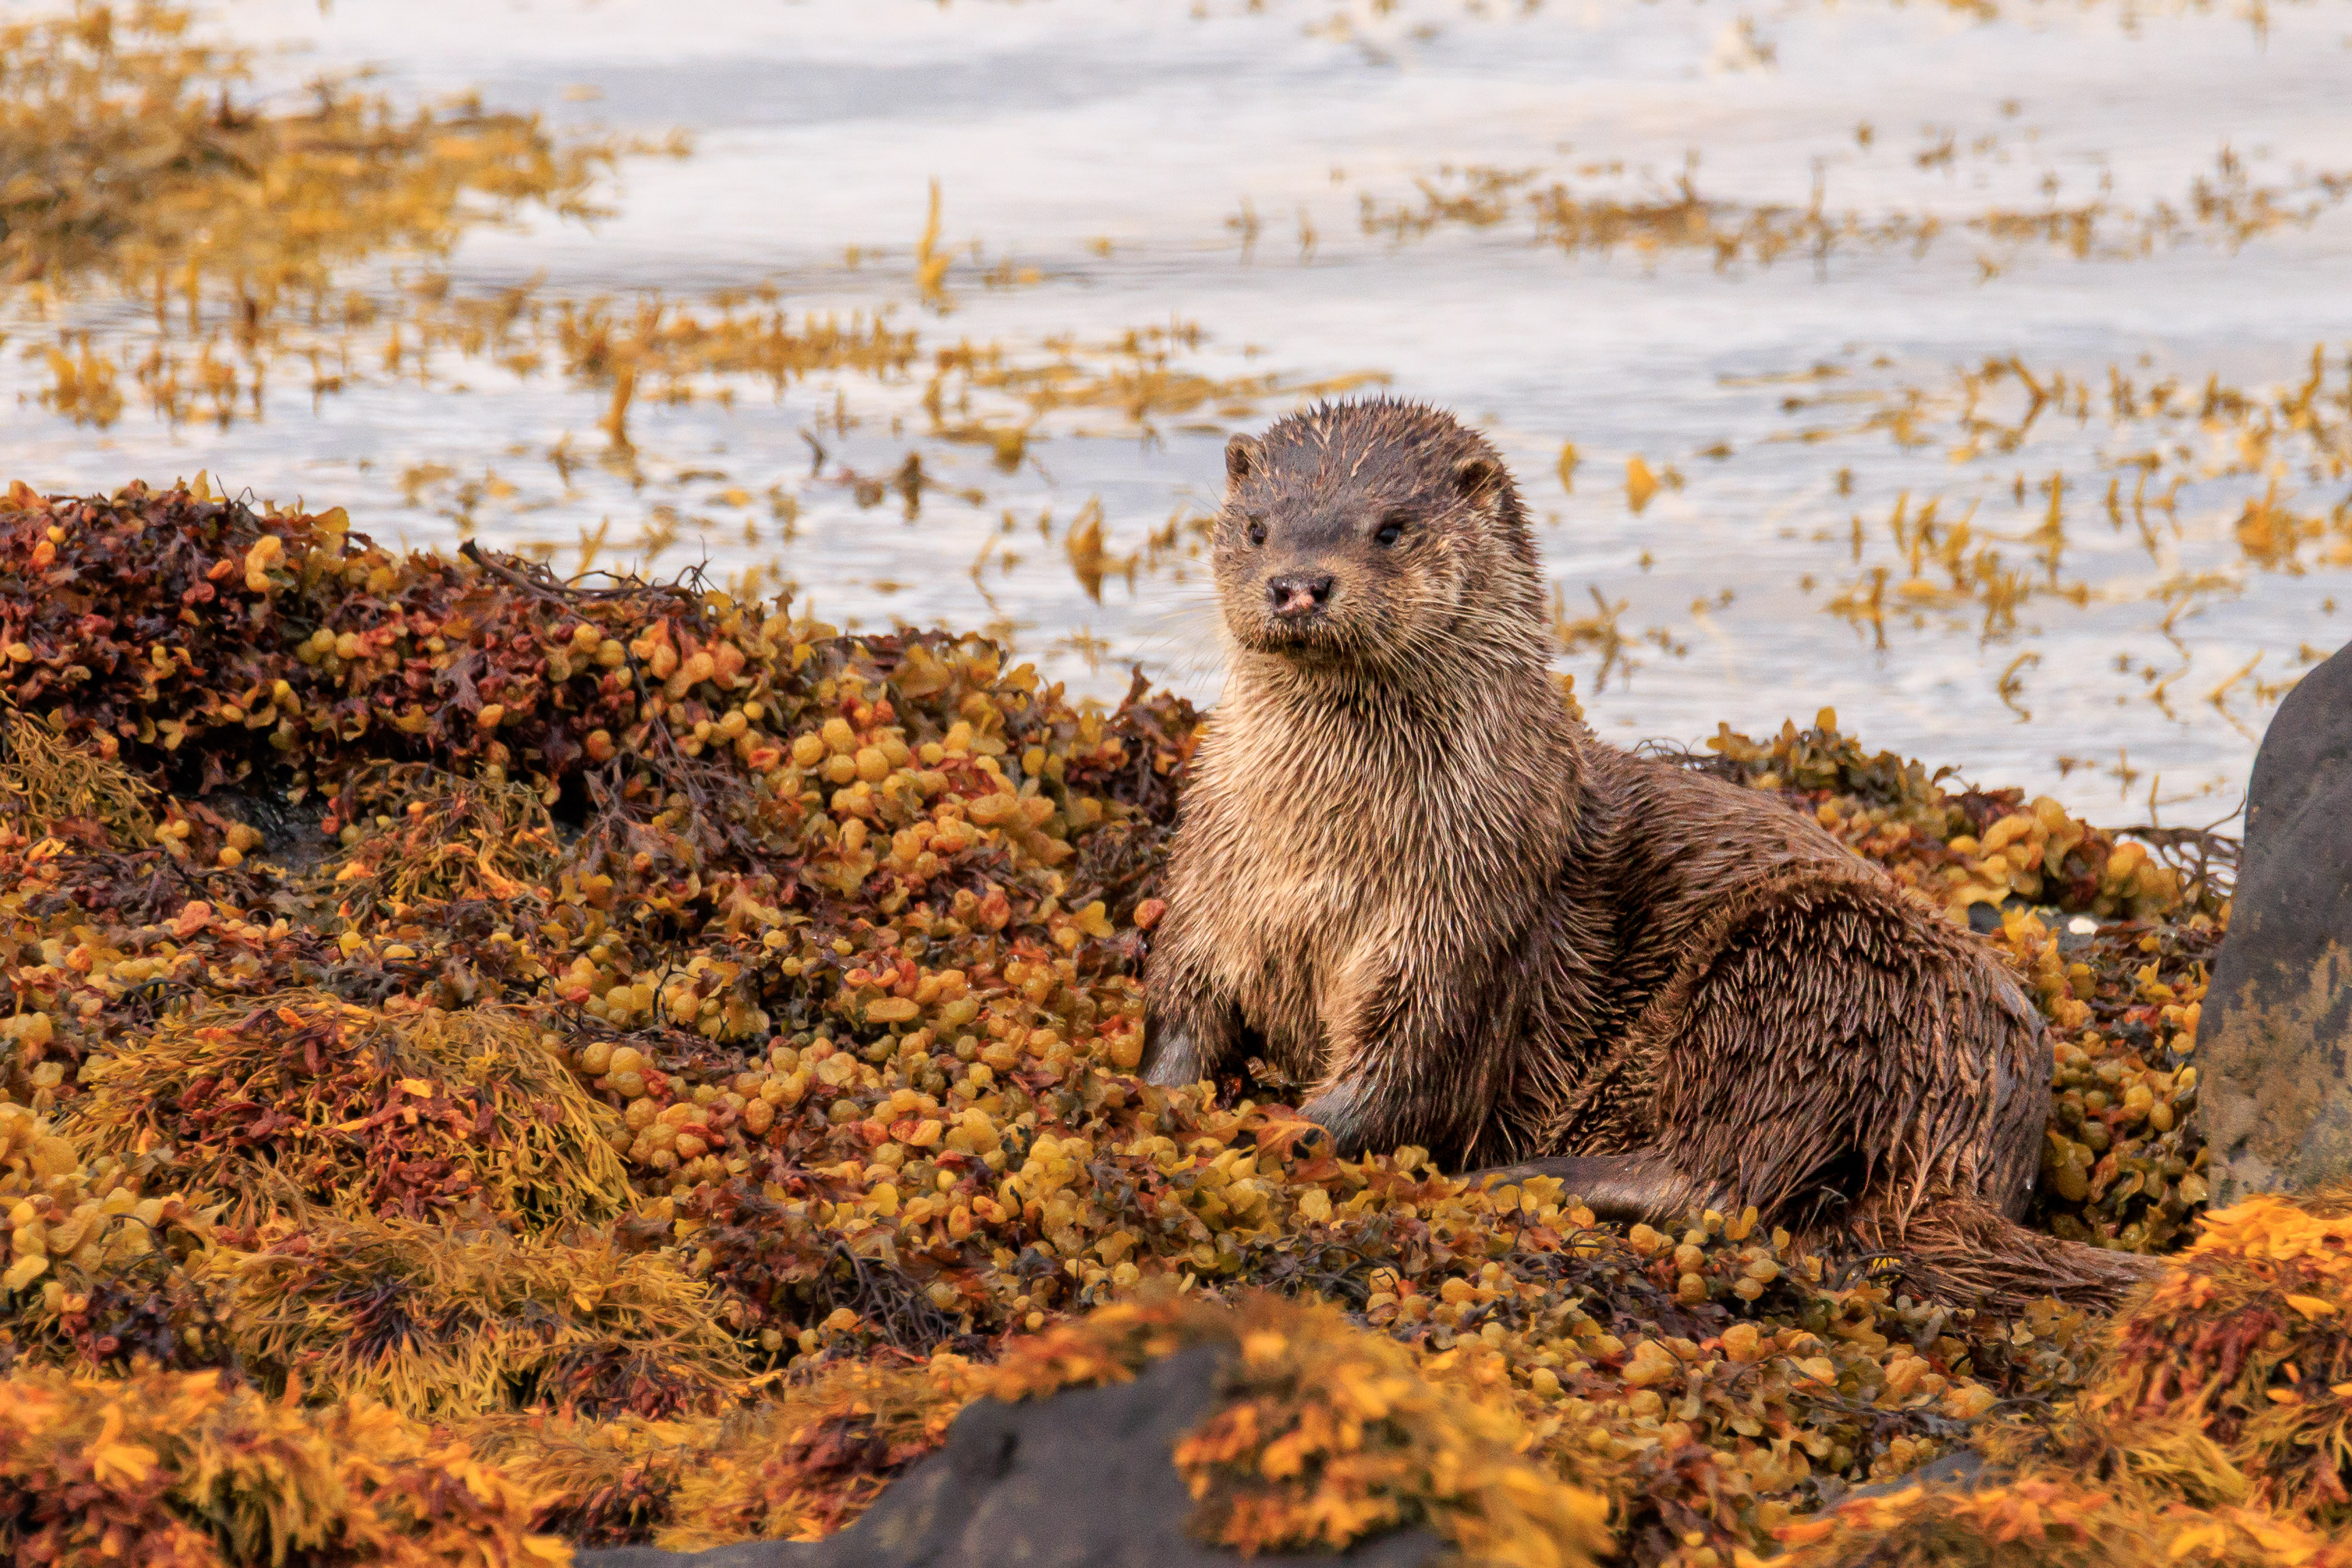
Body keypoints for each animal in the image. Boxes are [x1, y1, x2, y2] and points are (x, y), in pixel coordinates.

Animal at [1141, 398, 2158, 1307]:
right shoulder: (1203, 884)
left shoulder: (1464, 918)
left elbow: (1406, 1071)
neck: (1317, 864)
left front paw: (1288, 1130)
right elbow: (1178, 1015)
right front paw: (1159, 1101)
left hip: (1808, 963)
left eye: (1389, 529)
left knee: (1721, 1173)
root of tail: (1978, 1133)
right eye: (1256, 527)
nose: (1298, 583)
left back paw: (1526, 1180)